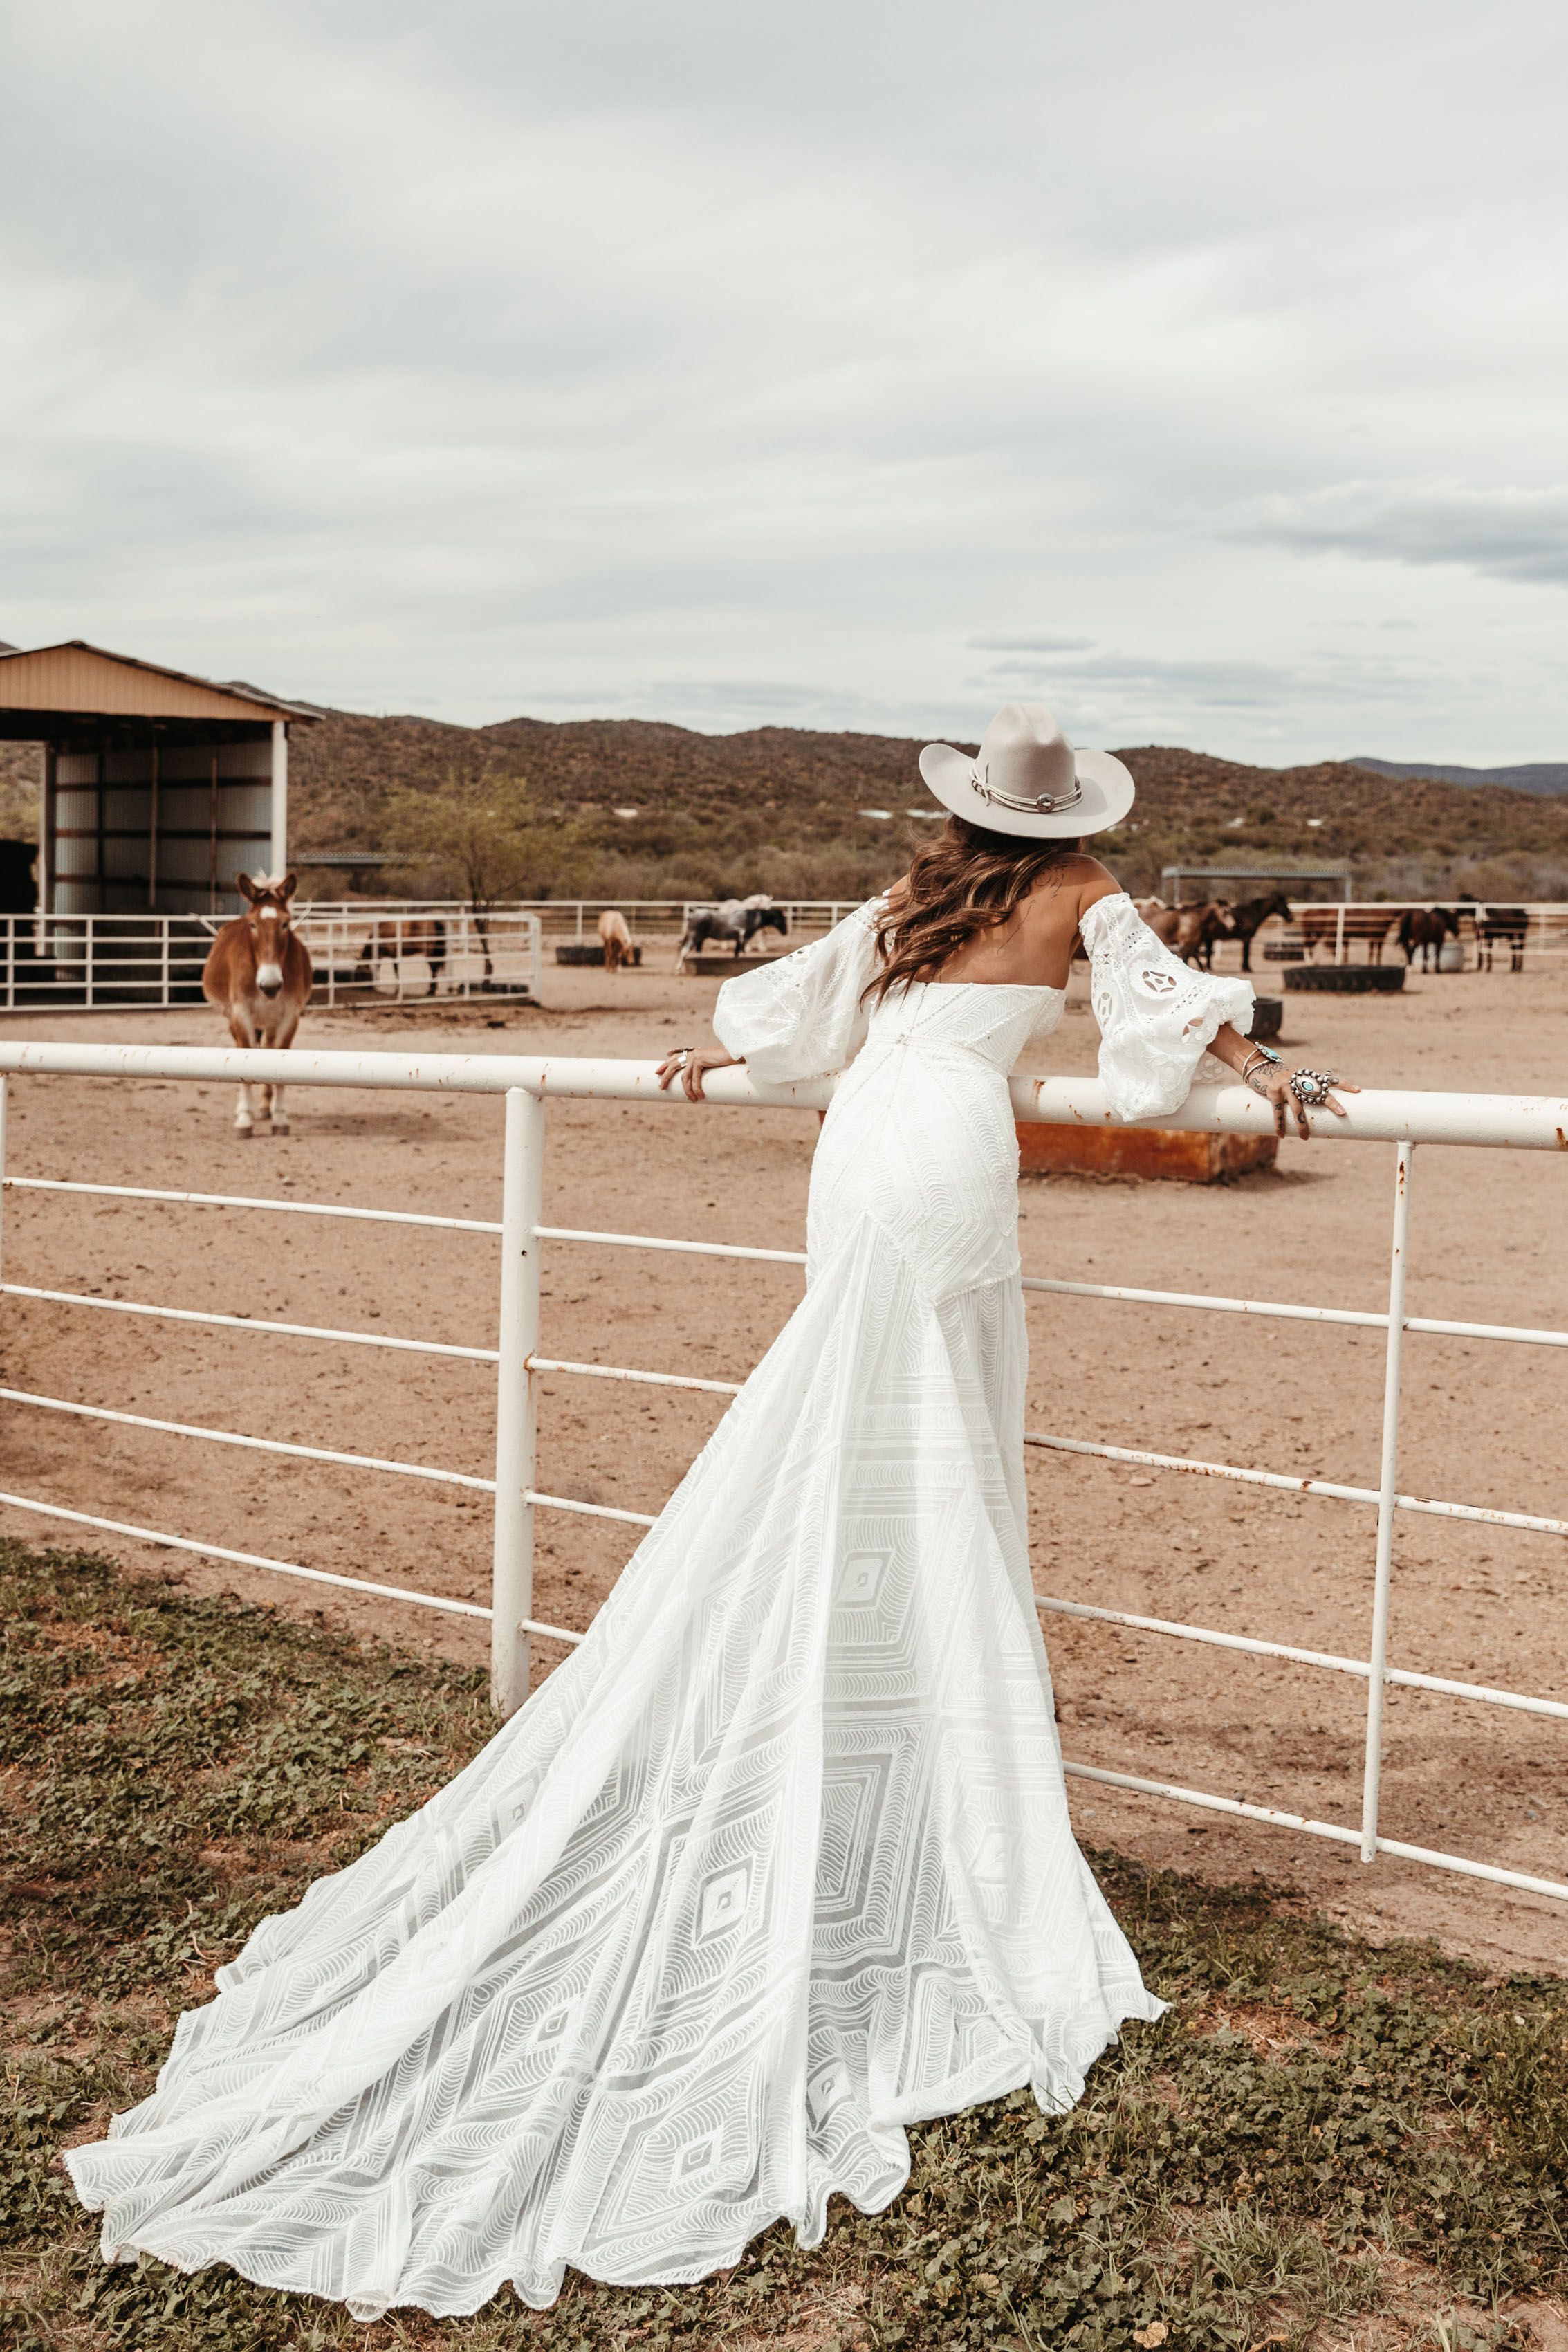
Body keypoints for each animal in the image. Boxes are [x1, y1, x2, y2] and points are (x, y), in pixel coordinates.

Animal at [201, 884, 315, 1138]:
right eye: (253, 925)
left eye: (285, 923)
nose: (269, 986)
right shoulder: (241, 1016)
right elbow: (246, 1060)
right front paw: (244, 1119)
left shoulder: (289, 1019)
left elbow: (279, 1061)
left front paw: (279, 1117)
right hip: (235, 1020)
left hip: (270, 1023)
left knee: (268, 1052)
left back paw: (264, 1107)